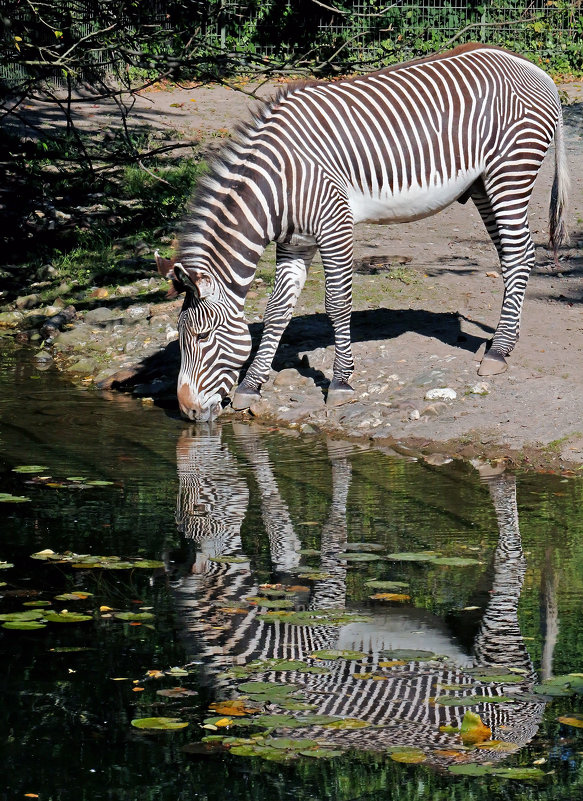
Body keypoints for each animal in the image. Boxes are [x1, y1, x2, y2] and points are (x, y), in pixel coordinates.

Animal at [153, 43, 568, 422]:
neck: (279, 183)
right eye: (181, 339)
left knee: (519, 254)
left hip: (510, 172)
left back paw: (497, 352)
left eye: (202, 338)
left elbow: (337, 303)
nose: (187, 411)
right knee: (513, 255)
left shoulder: (335, 225)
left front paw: (340, 383)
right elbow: (277, 310)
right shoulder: (294, 243)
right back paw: (505, 342)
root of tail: (531, 67)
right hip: (483, 185)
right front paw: (250, 387)